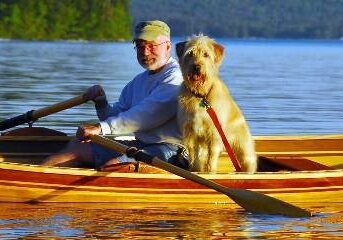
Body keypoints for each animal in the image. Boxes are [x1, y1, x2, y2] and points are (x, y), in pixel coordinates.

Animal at [176, 35, 256, 172]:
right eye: (190, 53)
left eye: (206, 54)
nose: (196, 67)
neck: (201, 96)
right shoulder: (190, 131)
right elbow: (193, 154)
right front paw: (195, 169)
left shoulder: (214, 132)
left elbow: (212, 154)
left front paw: (211, 171)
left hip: (244, 151)